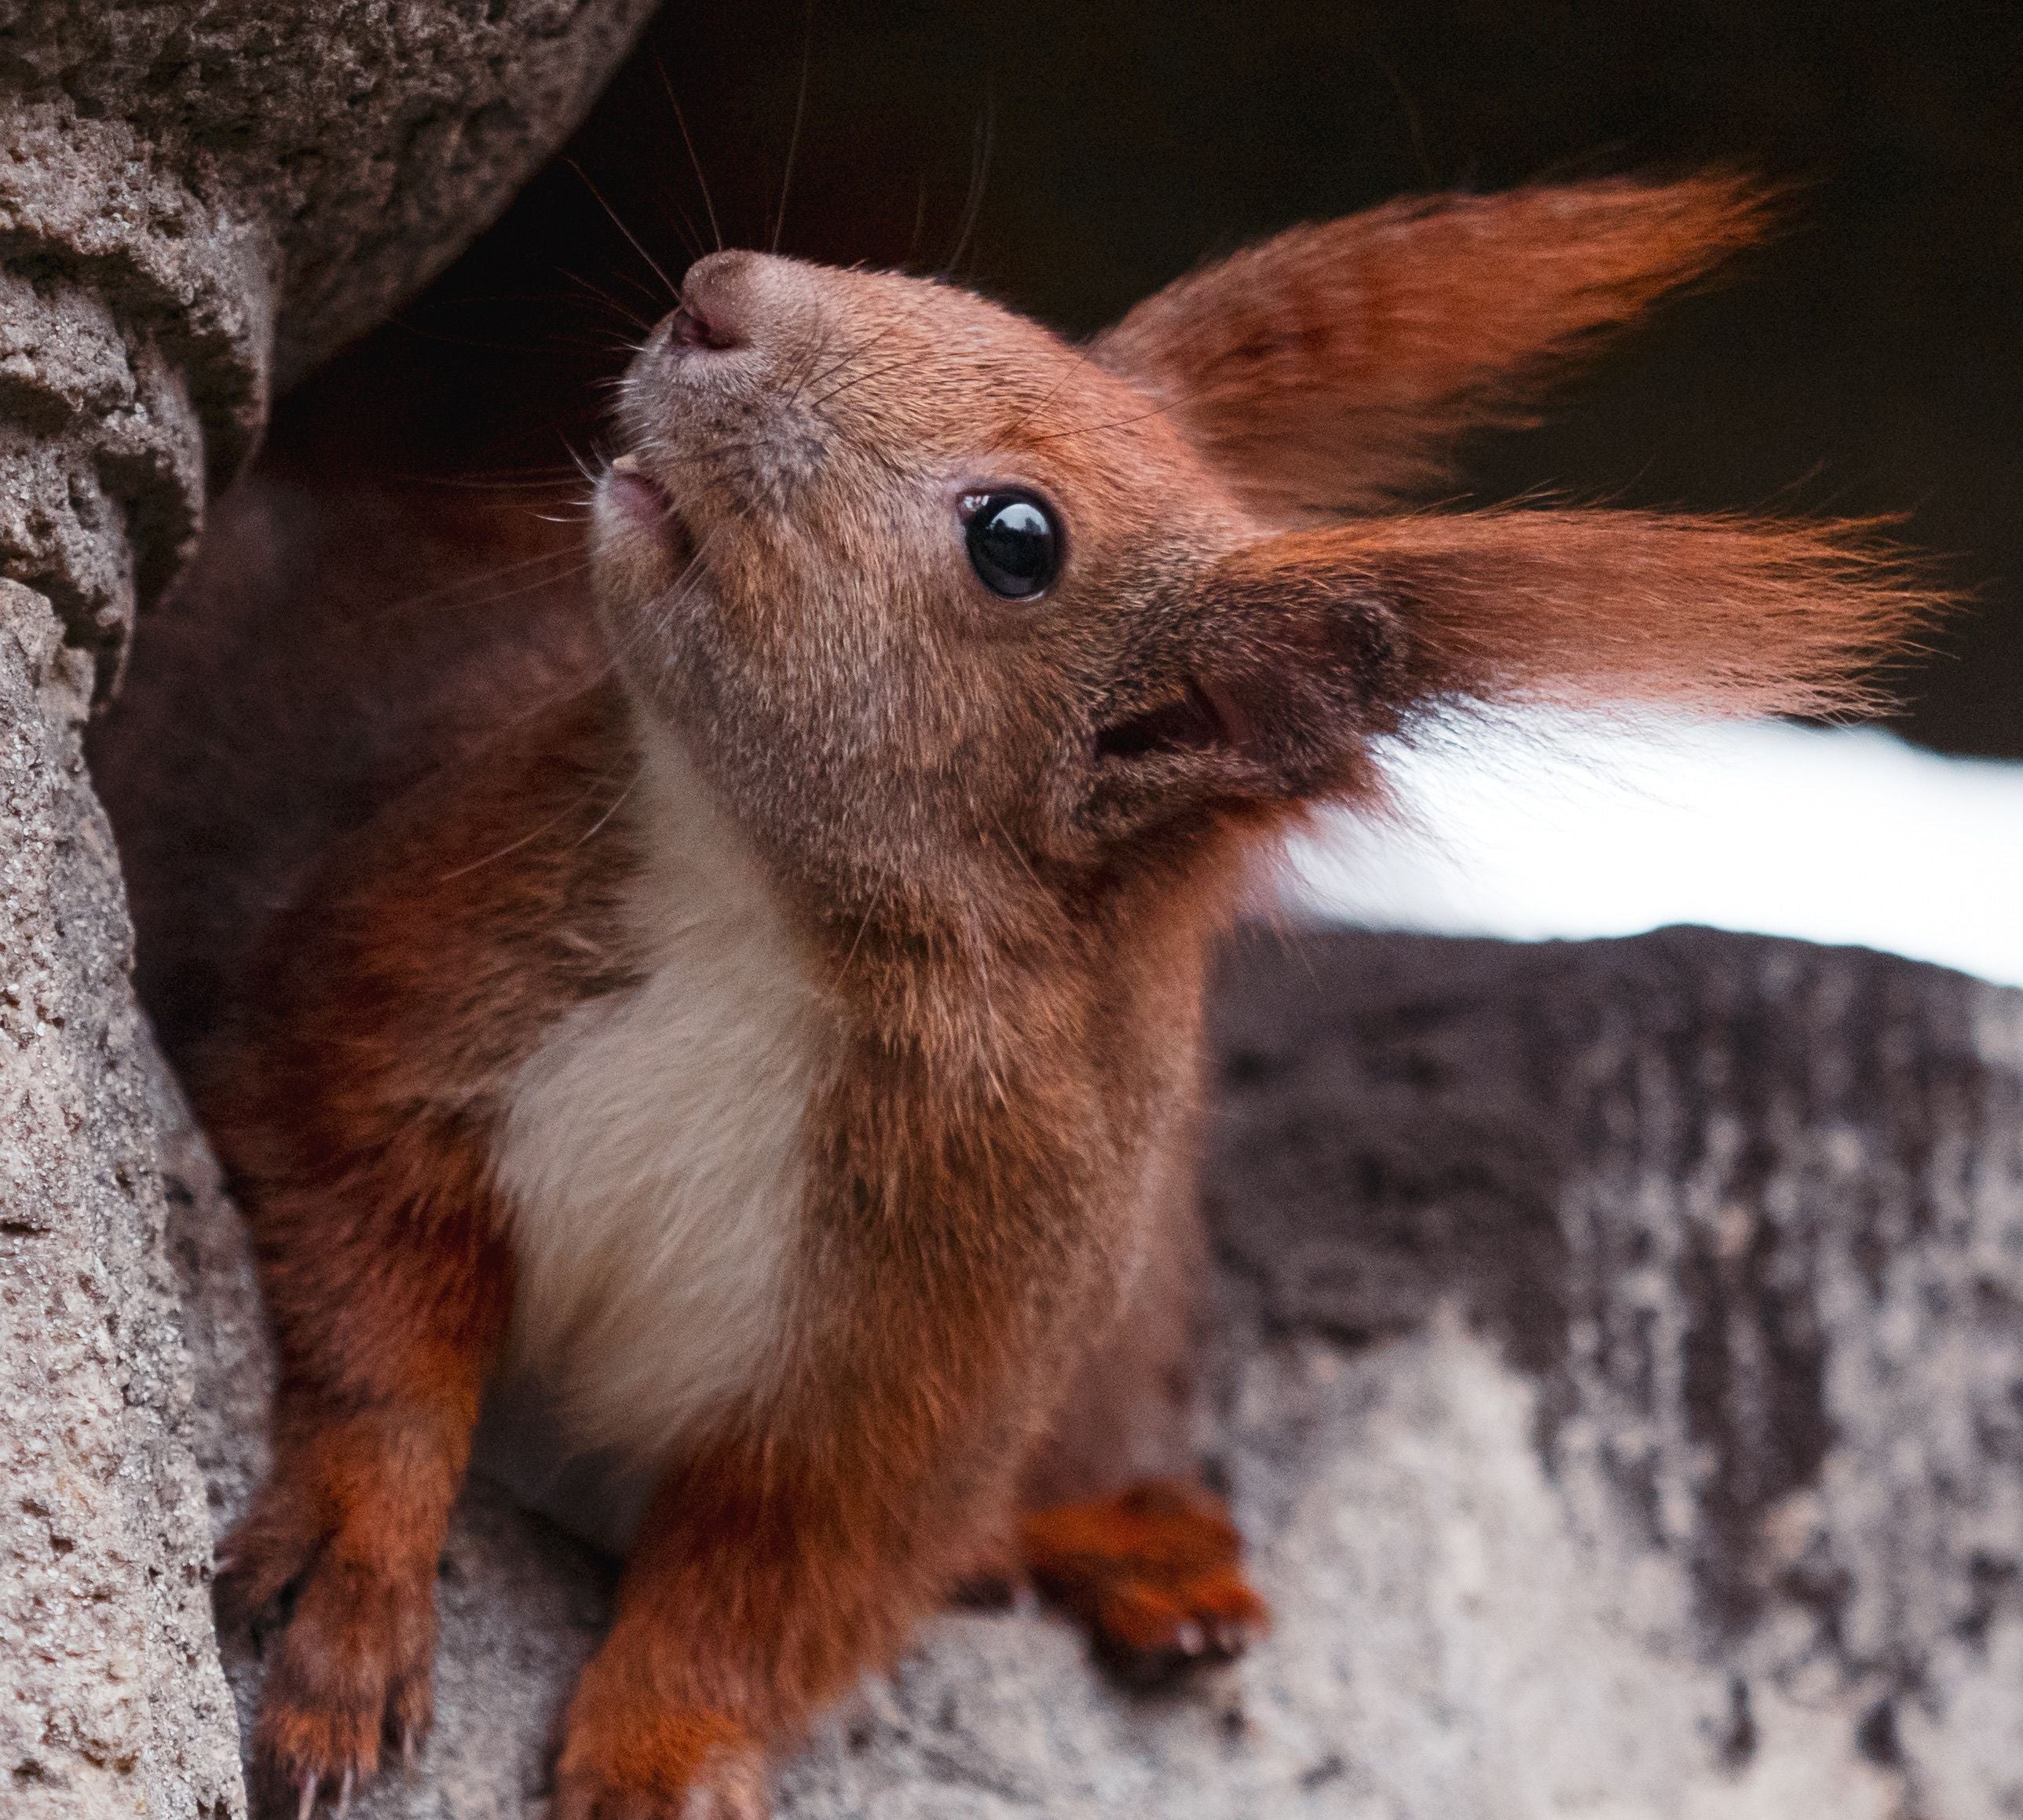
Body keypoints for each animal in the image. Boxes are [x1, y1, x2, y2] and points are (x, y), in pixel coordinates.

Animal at [96, 175, 1933, 1818]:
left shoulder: (945, 1338)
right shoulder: (387, 1000)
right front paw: (358, 1584)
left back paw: (1136, 1561)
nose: (717, 293)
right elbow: (372, 1309)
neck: (766, 919)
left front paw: (662, 1758)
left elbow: (779, 1582)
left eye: (1016, 540)